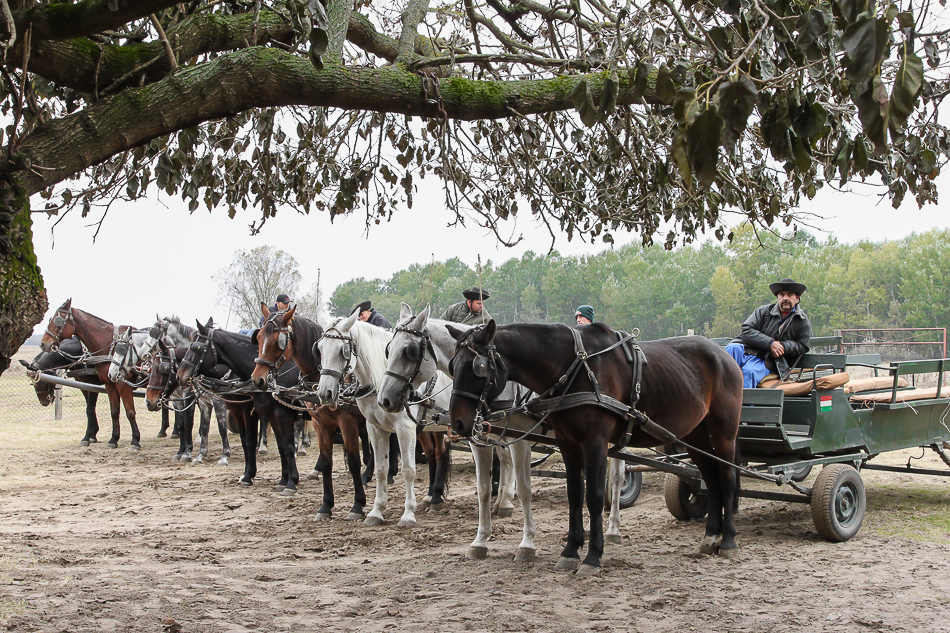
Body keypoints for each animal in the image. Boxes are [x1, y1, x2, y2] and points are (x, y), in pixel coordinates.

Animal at [40, 298, 143, 446]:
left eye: (57, 321)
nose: (43, 344)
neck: (110, 346)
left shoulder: (122, 385)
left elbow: (130, 412)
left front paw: (135, 439)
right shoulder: (107, 385)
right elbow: (113, 411)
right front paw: (113, 439)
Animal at [318, 314, 422, 524]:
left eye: (343, 351)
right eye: (320, 348)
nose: (325, 393)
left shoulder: (405, 427)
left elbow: (408, 469)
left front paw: (408, 514)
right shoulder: (374, 427)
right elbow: (380, 468)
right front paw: (376, 511)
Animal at [380, 304, 540, 560]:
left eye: (410, 351)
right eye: (388, 349)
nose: (384, 399)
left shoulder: (521, 437)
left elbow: (525, 489)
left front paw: (527, 544)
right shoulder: (479, 437)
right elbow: (483, 488)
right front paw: (480, 540)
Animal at [450, 324, 748, 576]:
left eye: (477, 367)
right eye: (453, 365)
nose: (458, 422)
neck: (575, 368)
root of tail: (724, 354)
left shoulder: (596, 441)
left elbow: (593, 496)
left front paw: (593, 556)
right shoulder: (568, 443)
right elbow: (574, 495)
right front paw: (570, 551)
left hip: (724, 432)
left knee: (726, 478)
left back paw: (728, 541)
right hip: (694, 434)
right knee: (710, 478)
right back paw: (711, 537)